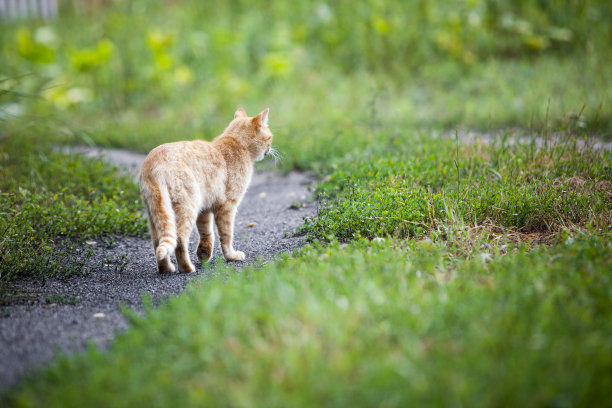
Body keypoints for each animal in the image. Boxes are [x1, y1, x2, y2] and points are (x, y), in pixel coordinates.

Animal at [140, 107, 274, 274]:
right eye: (270, 138)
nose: (270, 148)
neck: (237, 143)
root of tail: (154, 166)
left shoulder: (205, 209)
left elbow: (206, 233)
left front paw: (204, 253)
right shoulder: (227, 207)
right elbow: (226, 235)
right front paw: (231, 256)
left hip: (157, 214)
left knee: (158, 242)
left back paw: (166, 268)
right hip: (187, 208)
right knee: (179, 239)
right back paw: (187, 268)